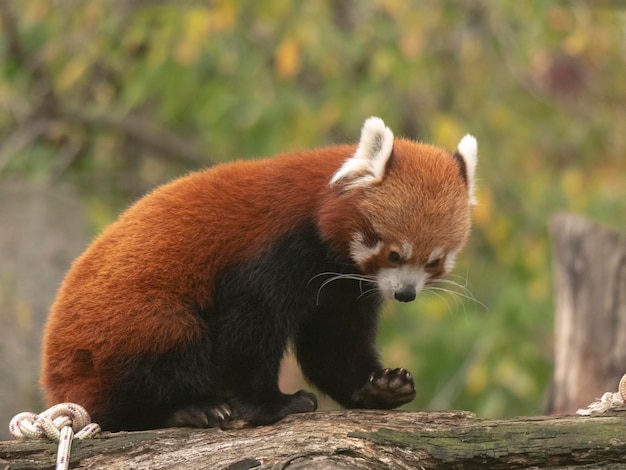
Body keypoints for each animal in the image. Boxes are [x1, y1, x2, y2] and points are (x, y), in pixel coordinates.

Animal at [41, 116, 476, 430]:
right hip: (125, 328)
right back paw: (187, 409)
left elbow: (333, 342)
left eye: (434, 261)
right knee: (167, 344)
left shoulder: (343, 284)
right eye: (394, 254)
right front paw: (272, 405)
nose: (405, 293)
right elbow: (249, 330)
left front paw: (379, 388)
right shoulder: (275, 252)